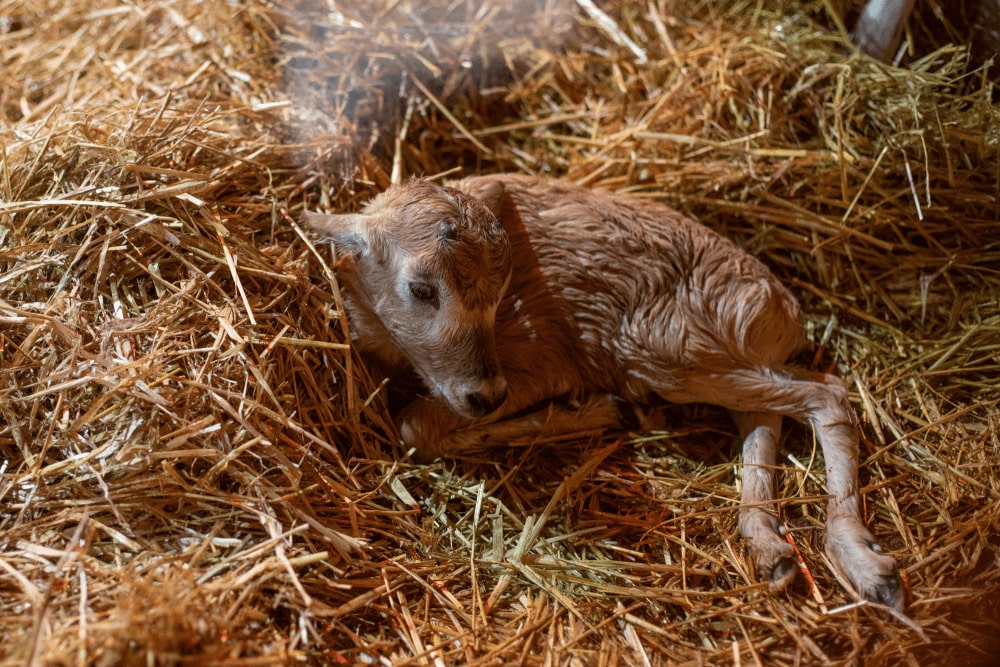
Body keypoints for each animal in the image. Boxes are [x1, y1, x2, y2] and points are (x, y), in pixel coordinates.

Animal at [304, 174, 908, 612]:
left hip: (667, 346)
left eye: (501, 292)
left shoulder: (543, 359)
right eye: (422, 288)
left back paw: (869, 568)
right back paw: (770, 548)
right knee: (766, 417)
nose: (485, 395)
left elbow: (415, 424)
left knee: (827, 393)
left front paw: (597, 410)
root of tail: (783, 311)